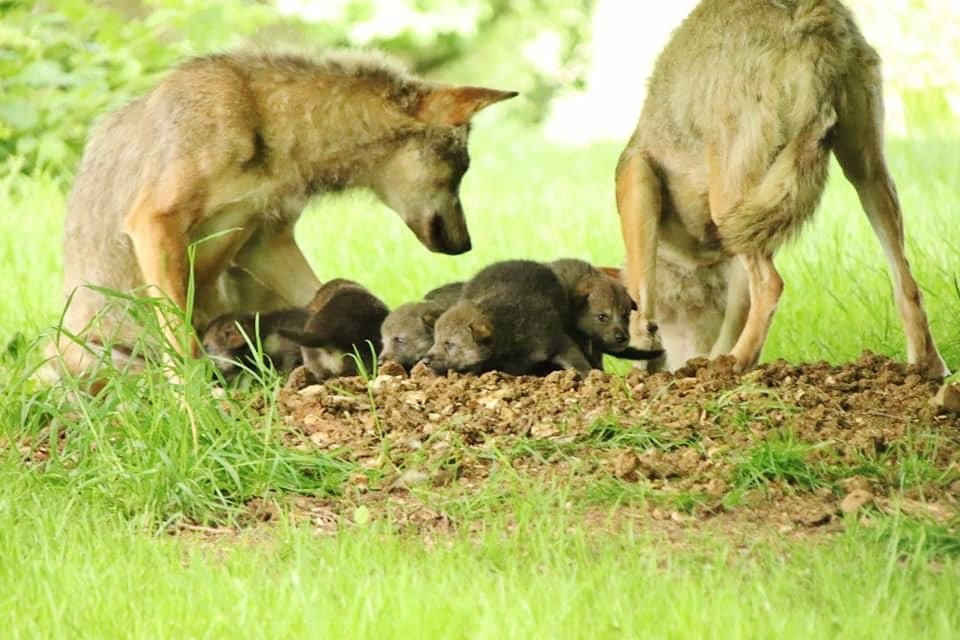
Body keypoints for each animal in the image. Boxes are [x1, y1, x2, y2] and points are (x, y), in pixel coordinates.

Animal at [49, 49, 516, 380]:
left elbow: (323, 293)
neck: (265, 126)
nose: (466, 246)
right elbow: (183, 344)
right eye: (461, 170)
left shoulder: (263, 243)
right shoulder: (154, 223)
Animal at [614, 0, 949, 376]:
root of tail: (811, 14)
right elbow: (735, 316)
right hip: (866, 175)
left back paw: (734, 363)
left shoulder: (635, 180)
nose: (676, 364)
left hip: (728, 203)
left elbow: (642, 296)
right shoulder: (742, 245)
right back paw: (928, 368)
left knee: (771, 285)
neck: (697, 258)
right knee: (907, 285)